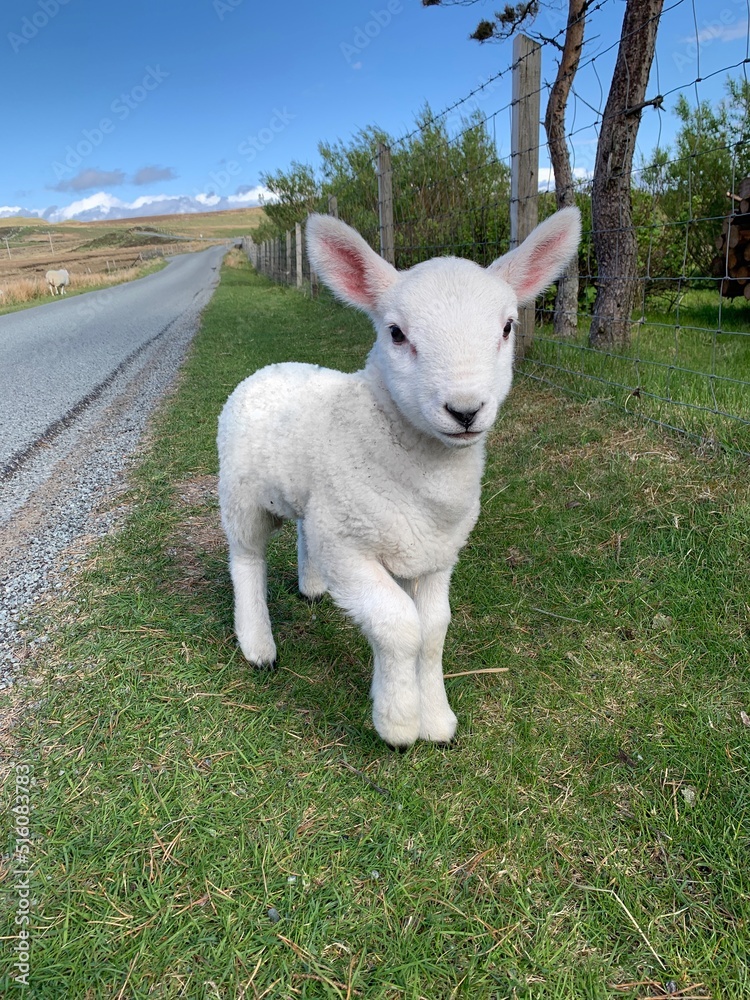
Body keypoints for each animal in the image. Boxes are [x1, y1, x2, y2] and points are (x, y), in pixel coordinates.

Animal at [217, 208, 581, 748]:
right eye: (395, 333)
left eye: (507, 327)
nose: (465, 410)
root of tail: (269, 368)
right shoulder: (348, 549)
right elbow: (399, 626)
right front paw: (399, 722)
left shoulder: (434, 555)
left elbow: (432, 632)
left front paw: (437, 719)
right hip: (241, 497)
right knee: (246, 559)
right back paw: (258, 644)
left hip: (315, 502)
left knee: (303, 529)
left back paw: (311, 585)